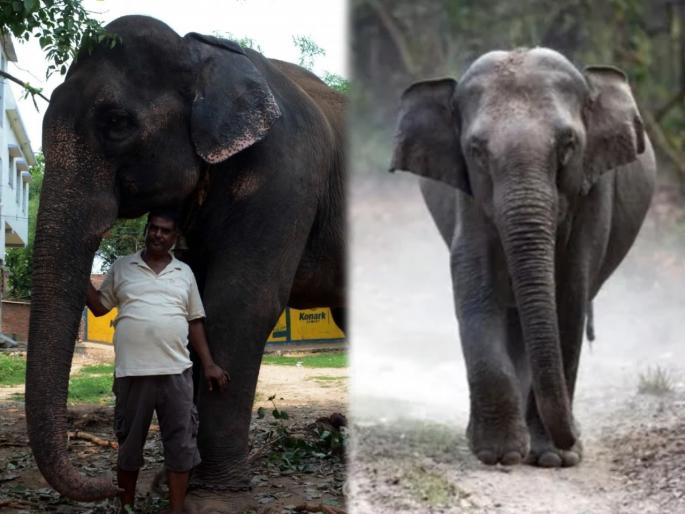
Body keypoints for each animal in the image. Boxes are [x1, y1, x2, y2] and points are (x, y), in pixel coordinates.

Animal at [26, 15, 345, 501]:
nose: (112, 484)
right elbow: (196, 306)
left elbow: (239, 303)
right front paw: (174, 482)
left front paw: (217, 494)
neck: (200, 53)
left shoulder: (286, 173)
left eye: (116, 122)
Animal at [390, 48, 655, 467]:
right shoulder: (468, 195)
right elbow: (475, 286)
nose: (574, 437)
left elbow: (570, 295)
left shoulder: (593, 191)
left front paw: (553, 458)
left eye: (568, 144)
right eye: (476, 151)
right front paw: (499, 454)